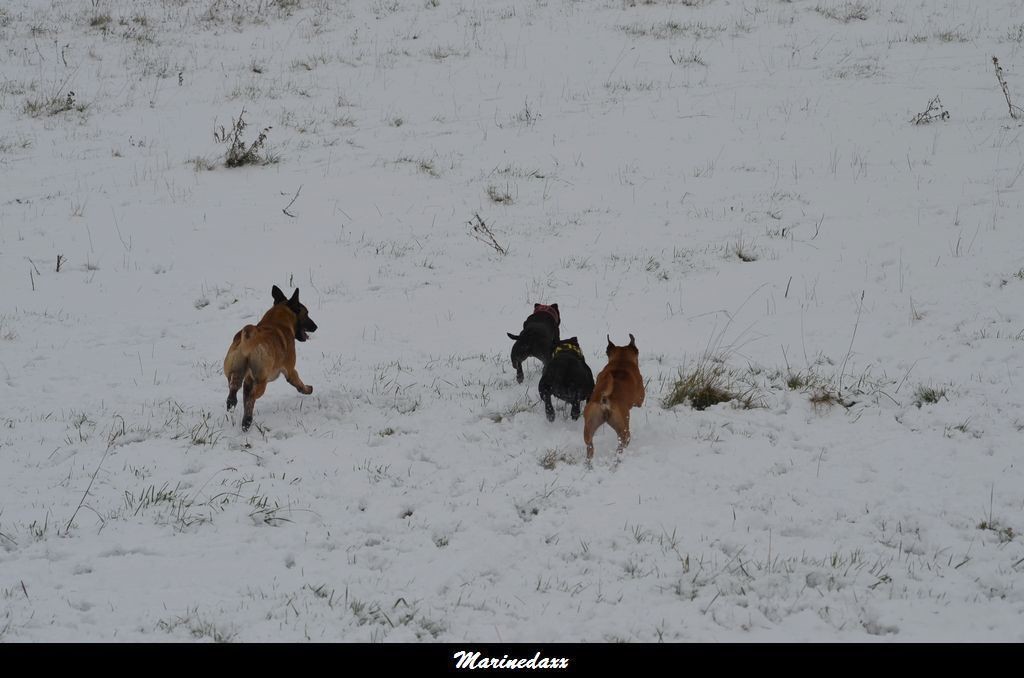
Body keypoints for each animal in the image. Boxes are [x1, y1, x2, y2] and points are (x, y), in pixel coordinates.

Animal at [223, 284, 315, 432]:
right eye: (306, 313)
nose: (316, 326)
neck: (277, 322)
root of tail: (249, 337)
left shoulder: (248, 380)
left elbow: (245, 397)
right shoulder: (290, 371)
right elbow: (299, 384)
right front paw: (307, 389)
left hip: (236, 372)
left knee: (234, 391)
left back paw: (235, 407)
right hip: (262, 381)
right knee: (252, 397)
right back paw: (247, 422)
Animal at [581, 333, 643, 462]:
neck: (621, 361)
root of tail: (604, 400)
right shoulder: (640, 398)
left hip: (589, 426)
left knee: (590, 445)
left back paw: (589, 462)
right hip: (624, 430)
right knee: (621, 445)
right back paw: (617, 459)